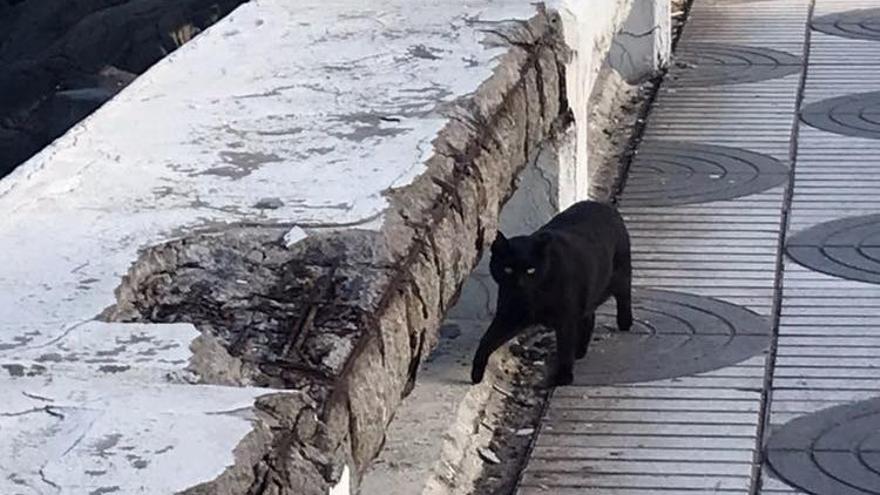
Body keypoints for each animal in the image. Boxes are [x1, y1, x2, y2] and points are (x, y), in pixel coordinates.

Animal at [470, 201, 628, 388]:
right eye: (508, 269)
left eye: (531, 270)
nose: (519, 284)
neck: (533, 298)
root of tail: (602, 205)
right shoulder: (509, 315)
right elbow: (487, 339)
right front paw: (476, 373)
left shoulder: (565, 318)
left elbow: (565, 347)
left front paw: (564, 376)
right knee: (589, 317)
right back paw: (580, 351)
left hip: (619, 275)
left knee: (624, 295)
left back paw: (625, 322)